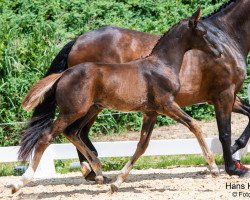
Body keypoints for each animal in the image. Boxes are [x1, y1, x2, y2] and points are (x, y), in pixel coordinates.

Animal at [20, 0, 249, 180]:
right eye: (203, 33)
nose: (218, 52)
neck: (229, 36)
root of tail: (76, 40)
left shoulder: (227, 97)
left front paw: (236, 154)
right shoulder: (223, 95)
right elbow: (224, 131)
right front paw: (231, 166)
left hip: (93, 106)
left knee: (77, 132)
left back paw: (95, 171)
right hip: (87, 107)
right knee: (74, 131)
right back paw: (92, 172)